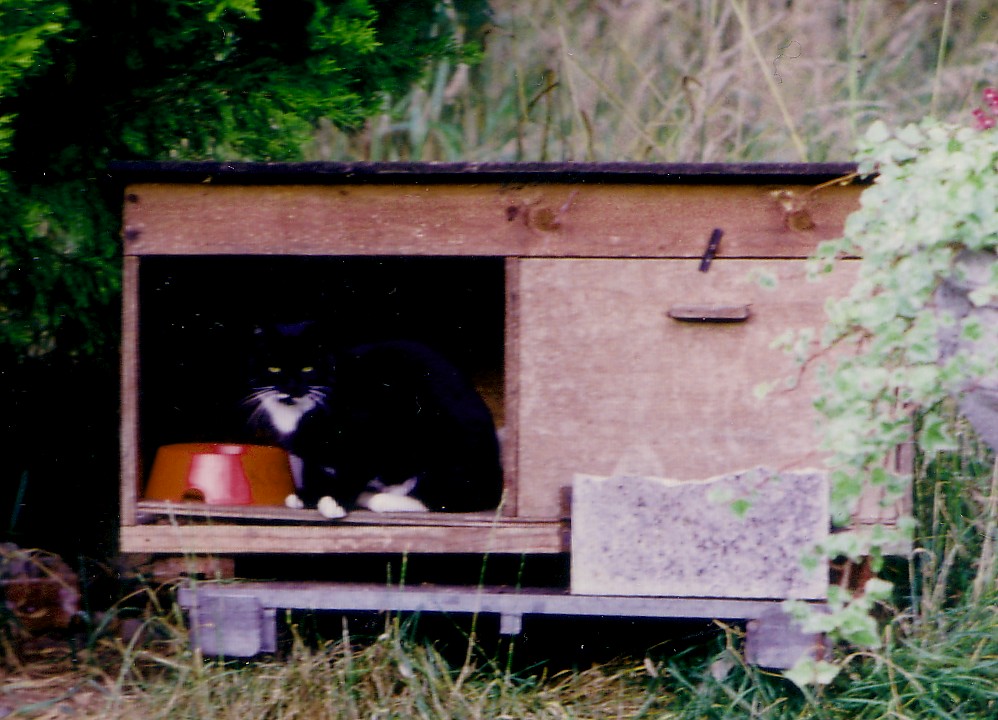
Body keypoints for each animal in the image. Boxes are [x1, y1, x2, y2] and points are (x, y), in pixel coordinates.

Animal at [243, 324, 508, 520]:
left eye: (308, 368)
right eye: (274, 368)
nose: (290, 386)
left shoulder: (371, 433)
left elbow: (355, 469)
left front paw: (336, 501)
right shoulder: (310, 450)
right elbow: (312, 468)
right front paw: (309, 496)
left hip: (447, 447)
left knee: (452, 498)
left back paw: (380, 499)